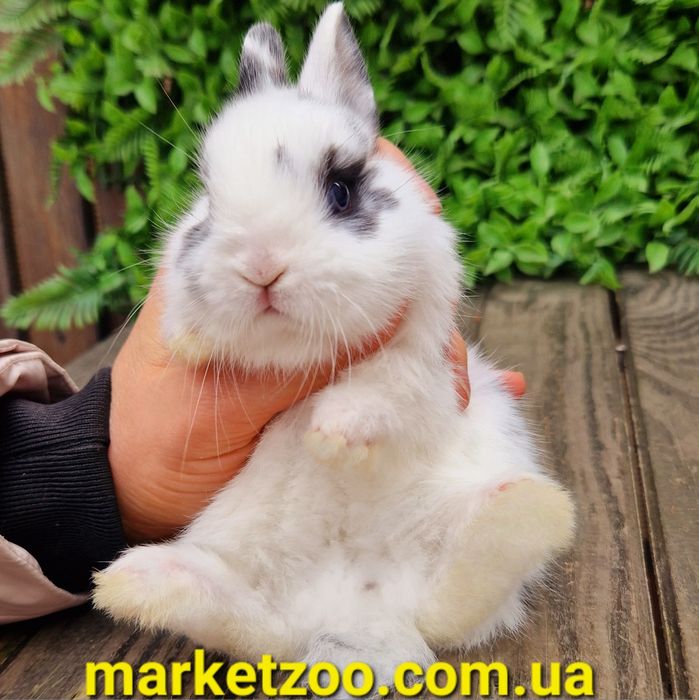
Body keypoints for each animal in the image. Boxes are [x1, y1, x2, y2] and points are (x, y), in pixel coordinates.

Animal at [93, 2, 575, 688]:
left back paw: (522, 512)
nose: (261, 265)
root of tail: (359, 619)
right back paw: (139, 582)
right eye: (208, 200)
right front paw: (190, 342)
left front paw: (331, 436)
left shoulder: (424, 360)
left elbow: (383, 388)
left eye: (341, 189)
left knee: (452, 602)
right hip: (248, 560)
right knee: (255, 627)